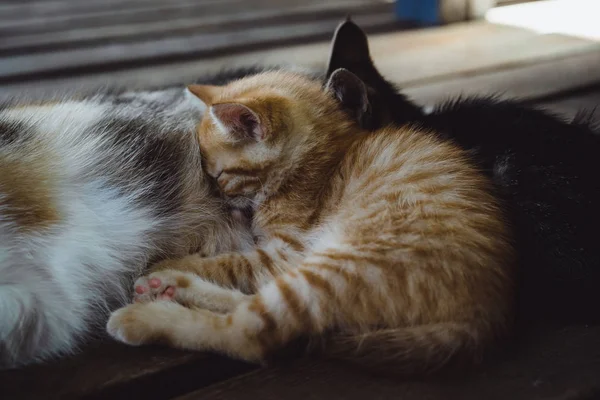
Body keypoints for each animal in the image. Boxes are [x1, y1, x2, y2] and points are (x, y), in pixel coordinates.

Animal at [108, 69, 516, 376]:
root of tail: (482, 317)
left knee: (249, 333)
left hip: (341, 266)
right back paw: (172, 287)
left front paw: (166, 262)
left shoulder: (285, 251)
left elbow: (229, 263)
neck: (321, 160)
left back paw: (149, 310)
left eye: (217, 175)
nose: (219, 202)